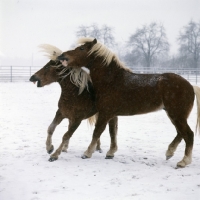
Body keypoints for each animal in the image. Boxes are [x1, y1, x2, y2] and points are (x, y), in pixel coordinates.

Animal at [57, 37, 200, 167]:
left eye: (82, 48)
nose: (62, 56)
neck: (111, 80)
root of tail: (191, 86)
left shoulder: (105, 113)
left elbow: (97, 132)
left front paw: (87, 153)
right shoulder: (112, 115)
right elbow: (112, 132)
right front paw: (110, 153)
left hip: (177, 115)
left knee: (188, 134)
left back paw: (183, 161)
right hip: (175, 115)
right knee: (180, 133)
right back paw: (169, 153)